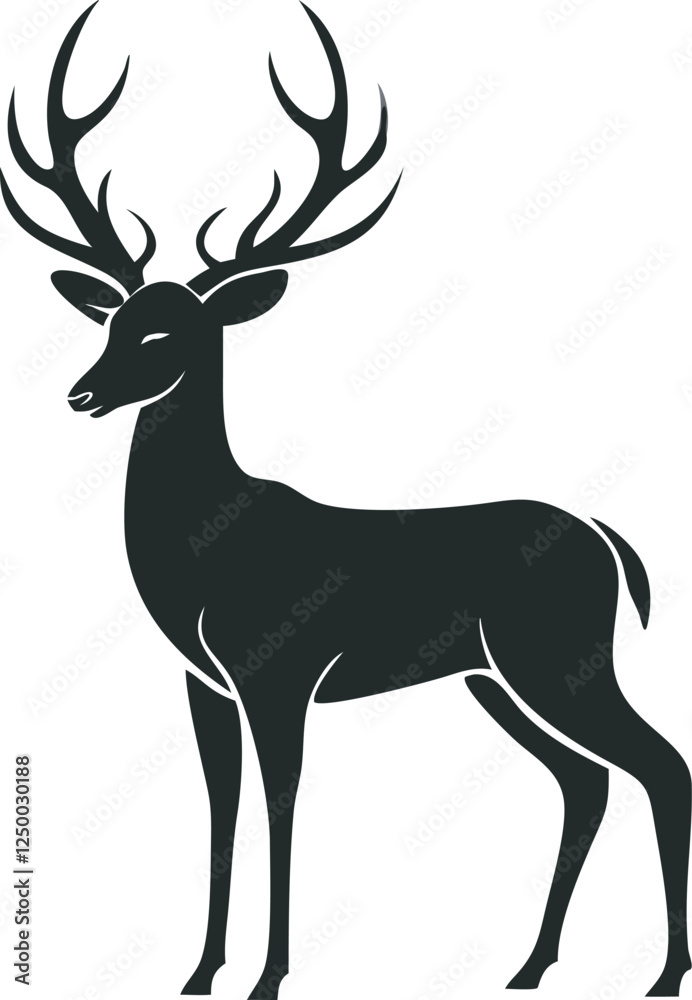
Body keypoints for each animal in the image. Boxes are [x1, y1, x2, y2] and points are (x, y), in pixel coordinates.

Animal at [1, 2, 690, 997]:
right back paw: (529, 967)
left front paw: (269, 975)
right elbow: (220, 811)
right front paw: (199, 972)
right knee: (584, 780)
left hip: (559, 657)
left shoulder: (281, 669)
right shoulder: (202, 680)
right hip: (494, 677)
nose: (81, 394)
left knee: (660, 765)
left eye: (170, 332)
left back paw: (661, 973)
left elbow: (281, 808)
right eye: (114, 321)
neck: (205, 554)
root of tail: (612, 542)